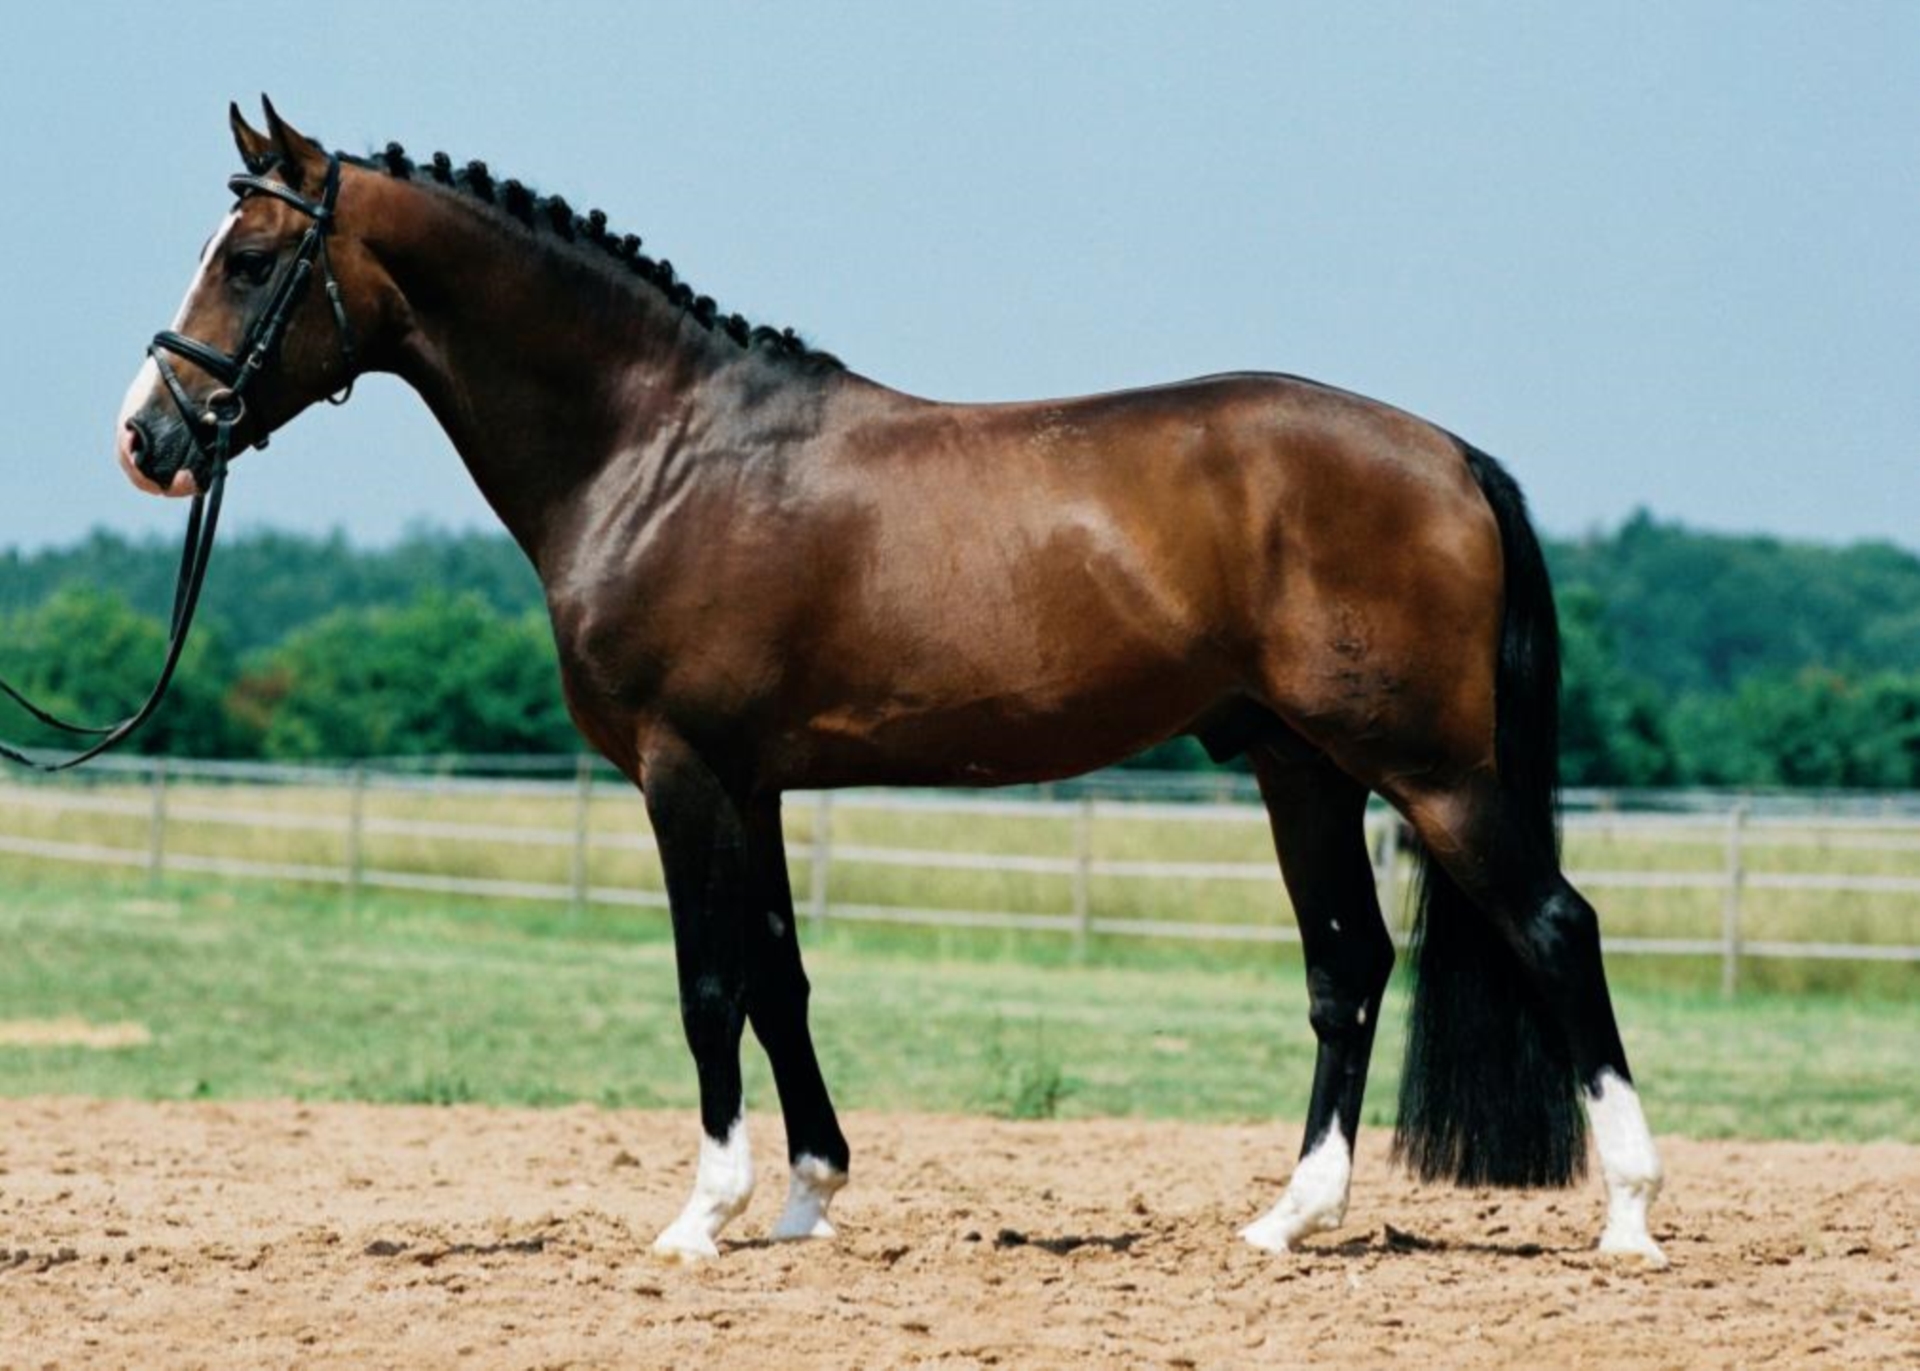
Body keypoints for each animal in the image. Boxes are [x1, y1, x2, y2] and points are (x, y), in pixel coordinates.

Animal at [112, 101, 1666, 1267]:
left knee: (1555, 927)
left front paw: (701, 1216)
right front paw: (807, 1196)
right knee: (1350, 967)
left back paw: (1631, 1218)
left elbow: (707, 982)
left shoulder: (682, 773)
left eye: (252, 256)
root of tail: (1449, 454)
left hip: (1432, 771)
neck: (658, 451)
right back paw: (1291, 1215)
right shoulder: (753, 781)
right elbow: (782, 975)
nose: (149, 437)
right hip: (1303, 769)